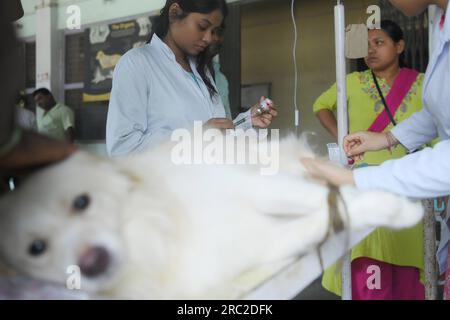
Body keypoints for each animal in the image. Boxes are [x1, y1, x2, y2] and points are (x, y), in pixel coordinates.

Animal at [0, 131, 424, 298]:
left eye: (81, 202)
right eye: (36, 248)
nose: (91, 262)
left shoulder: (254, 187)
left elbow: (330, 198)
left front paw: (397, 204)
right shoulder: (262, 243)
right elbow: (325, 212)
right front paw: (393, 207)